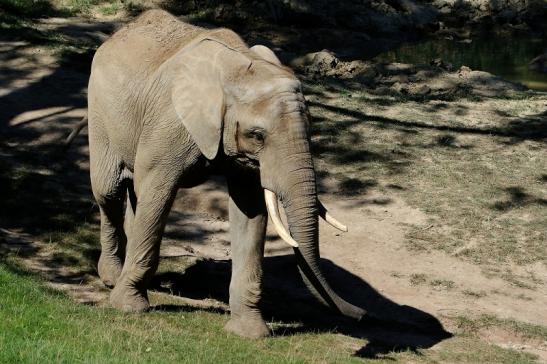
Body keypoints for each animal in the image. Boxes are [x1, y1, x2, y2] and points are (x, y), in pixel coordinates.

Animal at [88, 9, 366, 338]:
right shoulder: (169, 124)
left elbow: (250, 212)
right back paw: (112, 277)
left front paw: (249, 333)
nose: (362, 315)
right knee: (110, 192)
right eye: (257, 135)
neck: (240, 69)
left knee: (133, 197)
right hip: (100, 111)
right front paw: (129, 307)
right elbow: (157, 196)